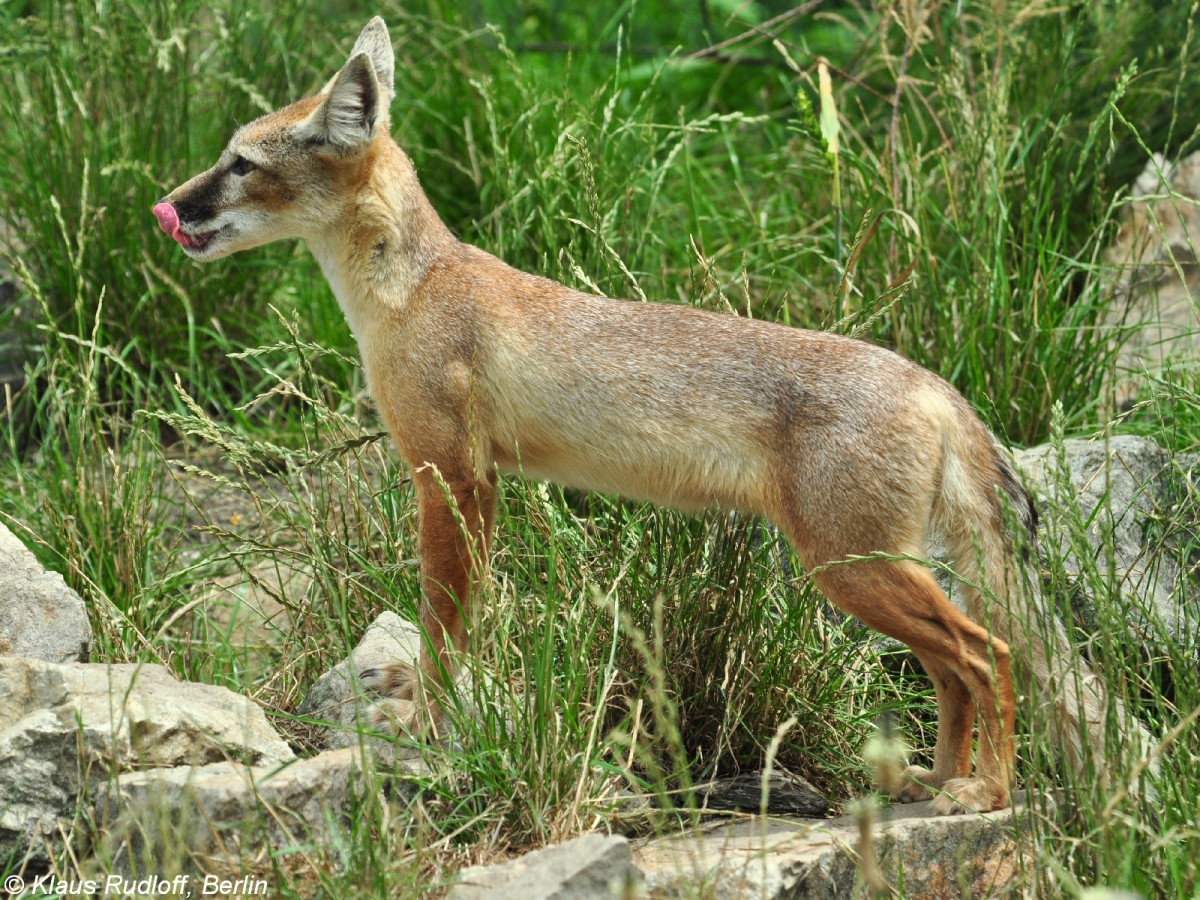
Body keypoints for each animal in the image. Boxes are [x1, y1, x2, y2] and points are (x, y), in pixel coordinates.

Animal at [154, 15, 1147, 816]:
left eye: (241, 164)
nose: (168, 207)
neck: (416, 290)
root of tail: (933, 382)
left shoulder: (454, 480)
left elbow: (445, 628)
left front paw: (428, 725)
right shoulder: (480, 486)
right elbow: (459, 627)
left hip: (857, 574)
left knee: (990, 655)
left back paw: (987, 791)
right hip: (877, 576)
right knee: (958, 668)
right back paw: (937, 781)